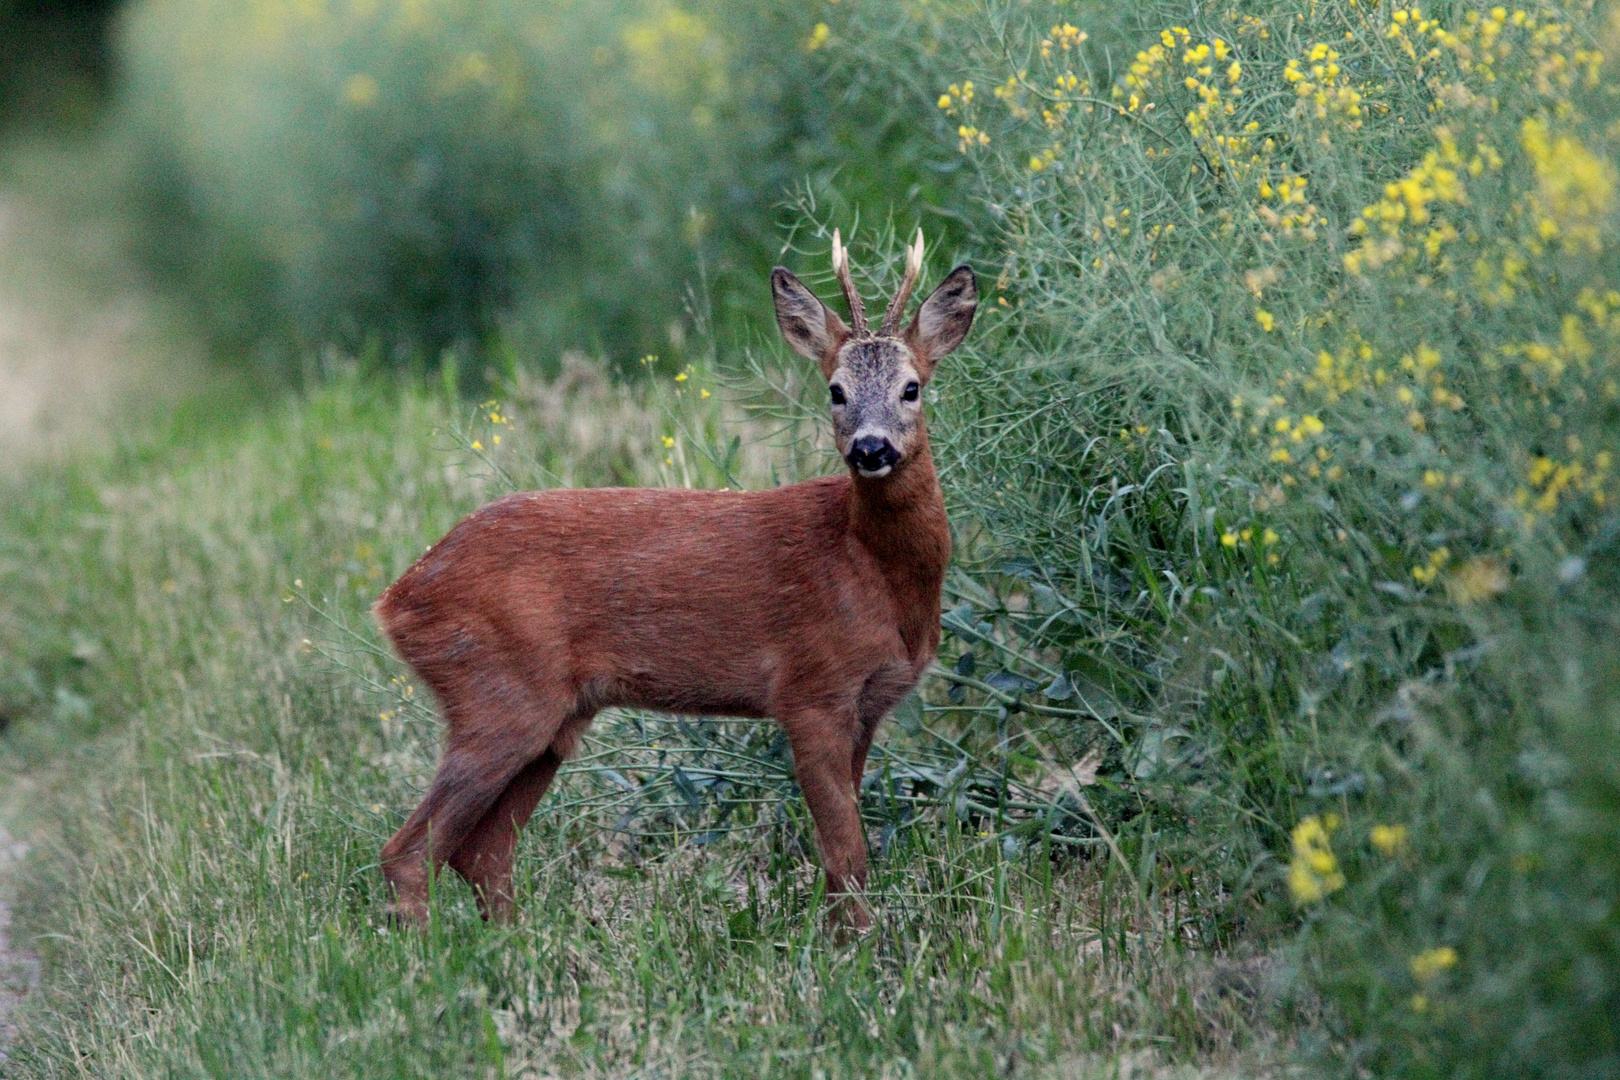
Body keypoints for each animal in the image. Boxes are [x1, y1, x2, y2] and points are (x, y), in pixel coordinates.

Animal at [375, 233, 972, 932]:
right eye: (835, 390)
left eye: (911, 388)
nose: (871, 450)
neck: (869, 570)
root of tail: (396, 598)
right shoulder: (810, 689)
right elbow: (846, 854)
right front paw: (854, 948)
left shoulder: (866, 708)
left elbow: (840, 856)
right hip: (496, 688)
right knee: (411, 851)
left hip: (552, 715)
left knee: (483, 851)